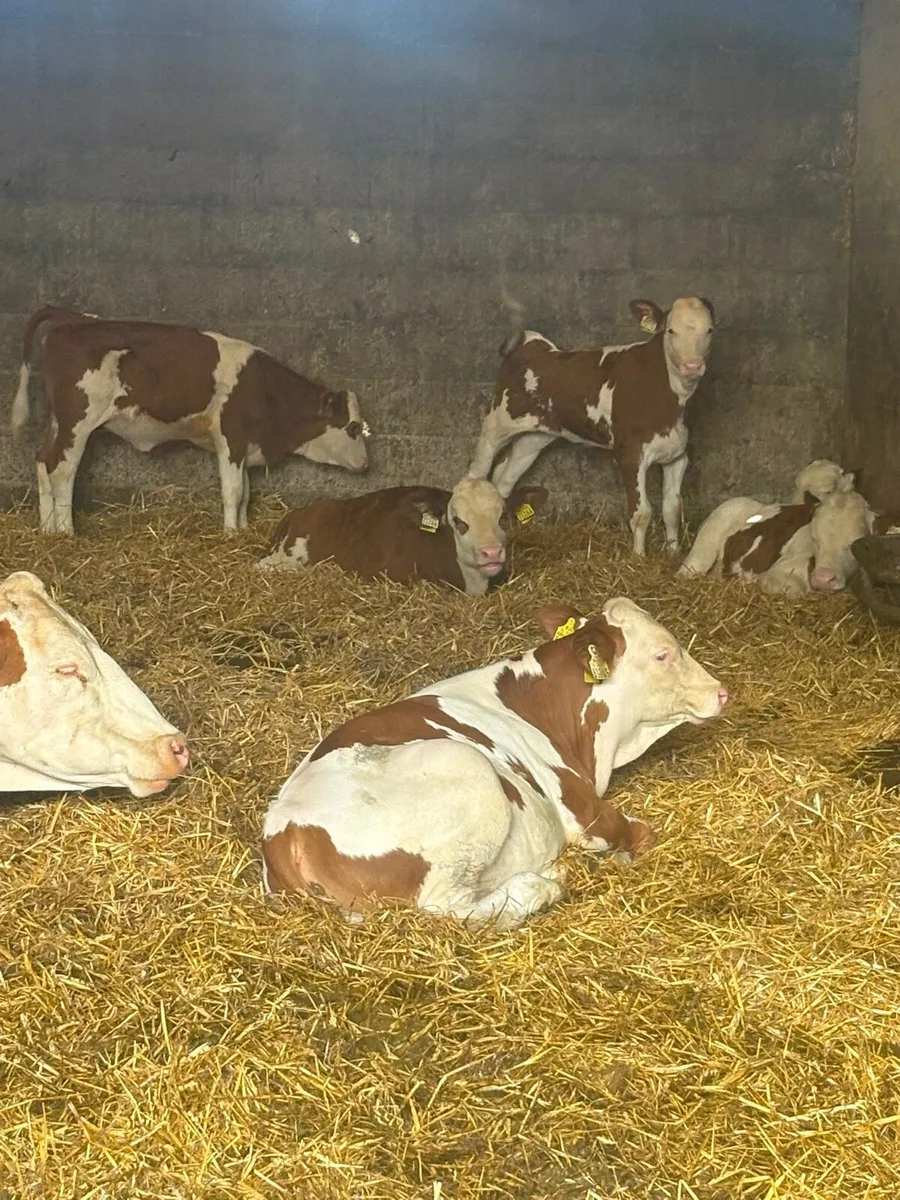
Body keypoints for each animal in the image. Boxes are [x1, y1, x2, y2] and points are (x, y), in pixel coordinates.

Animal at [11, 306, 370, 535]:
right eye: (353, 427)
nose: (366, 464)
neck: (265, 388)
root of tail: (72, 318)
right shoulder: (230, 438)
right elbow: (233, 490)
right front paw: (230, 534)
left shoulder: (241, 446)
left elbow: (245, 491)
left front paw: (242, 528)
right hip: (78, 422)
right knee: (62, 470)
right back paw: (66, 531)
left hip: (57, 422)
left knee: (42, 462)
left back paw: (46, 529)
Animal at [262, 597, 728, 928]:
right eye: (663, 655)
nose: (721, 692)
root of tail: (289, 830)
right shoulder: (585, 814)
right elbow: (642, 835)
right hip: (465, 772)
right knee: (448, 909)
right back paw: (545, 883)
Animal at [466, 297, 716, 557]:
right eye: (670, 330)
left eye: (709, 330)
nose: (692, 365)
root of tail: (533, 345)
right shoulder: (630, 454)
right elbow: (641, 513)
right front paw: (638, 557)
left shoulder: (676, 455)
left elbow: (672, 509)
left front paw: (674, 552)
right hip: (497, 424)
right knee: (477, 471)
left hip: (534, 438)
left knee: (504, 477)